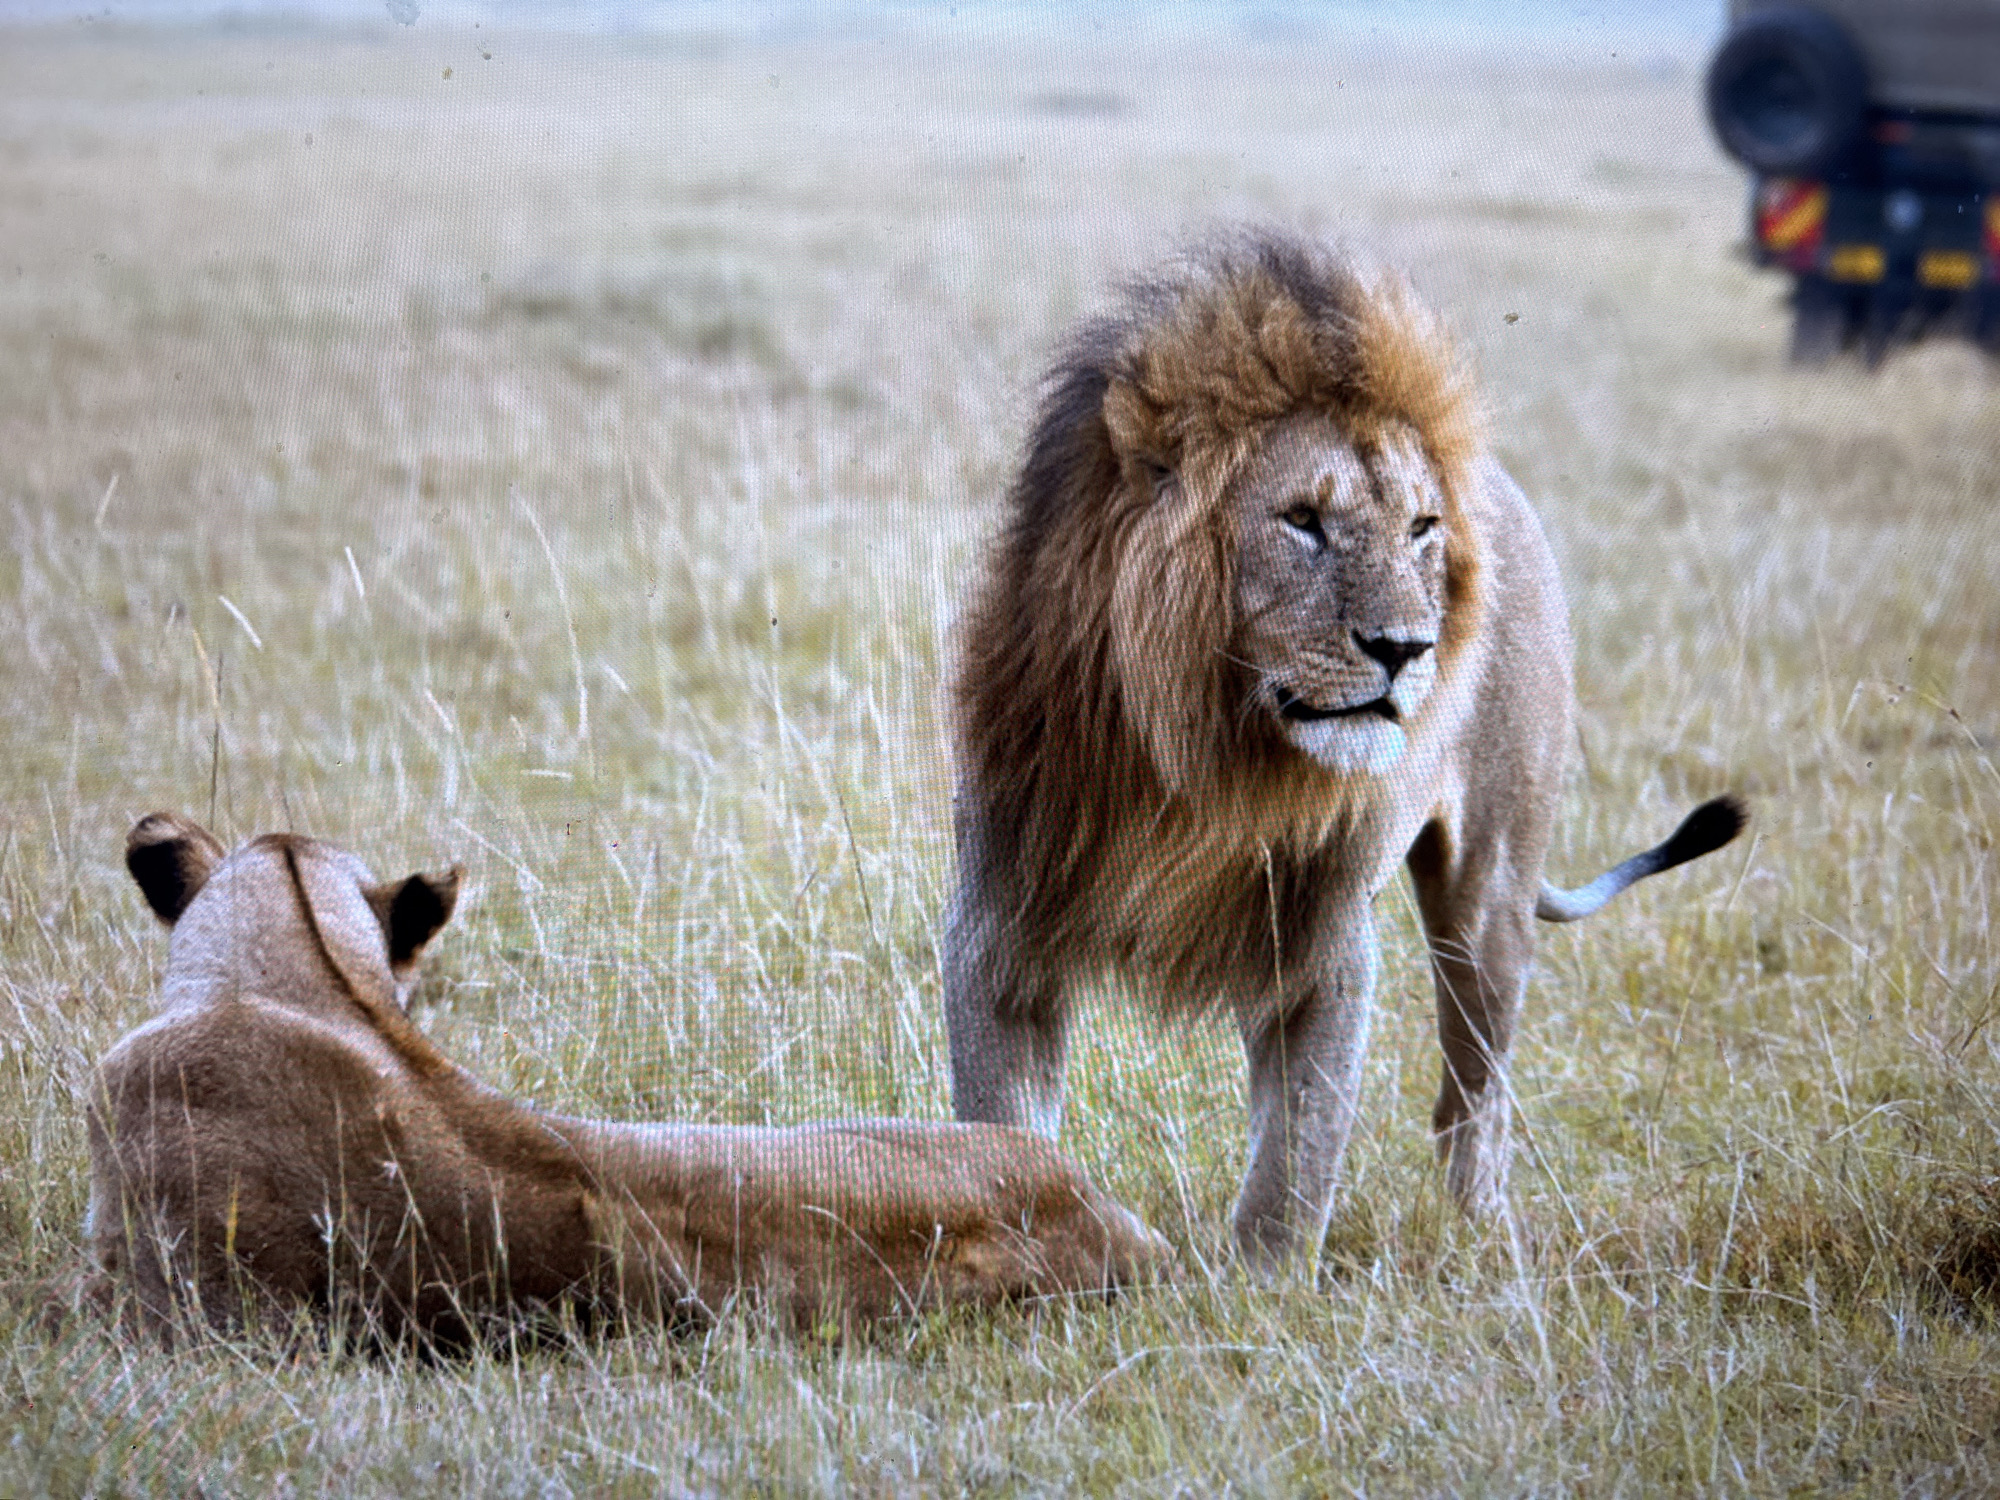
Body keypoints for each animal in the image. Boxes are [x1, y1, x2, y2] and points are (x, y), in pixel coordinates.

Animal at [943, 231, 1744, 1262]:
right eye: (1302, 520)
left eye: (1419, 530)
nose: (1406, 648)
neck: (1200, 759)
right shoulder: (1001, 923)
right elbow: (1002, 1125)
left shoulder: (1325, 948)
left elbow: (1299, 1153)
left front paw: (1260, 1284)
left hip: (1488, 898)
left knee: (1473, 1094)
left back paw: (1482, 1236)